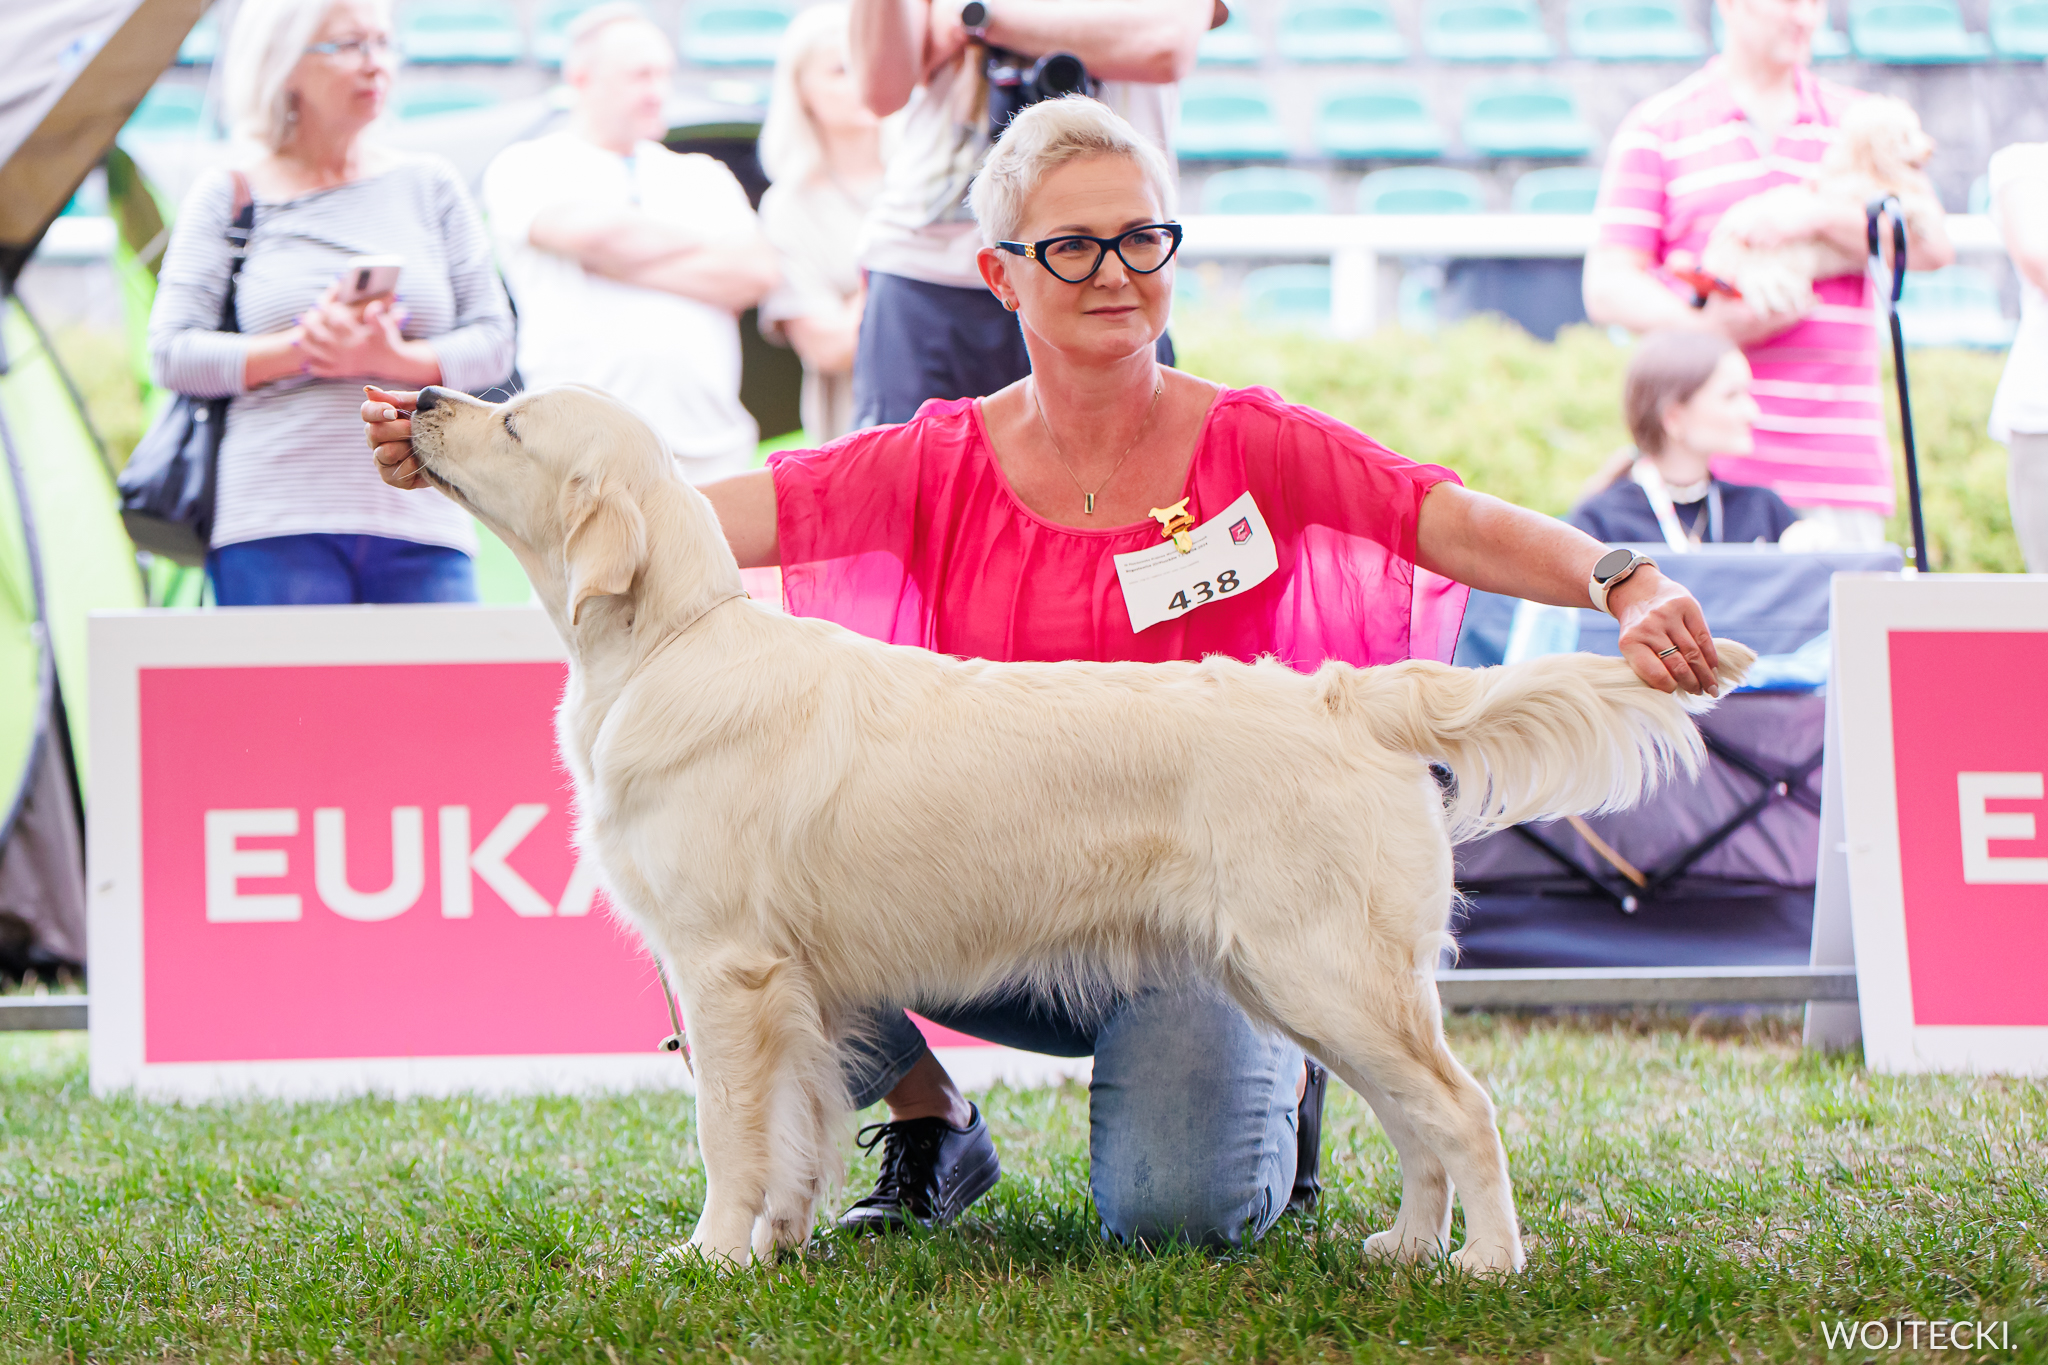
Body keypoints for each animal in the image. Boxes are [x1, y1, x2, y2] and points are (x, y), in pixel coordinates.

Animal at [407, 382, 1753, 1285]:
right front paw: (782, 1240)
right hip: (1315, 981)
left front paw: (714, 1255)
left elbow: (729, 1134)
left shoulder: (726, 967)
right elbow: (794, 1129)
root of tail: (1344, 695)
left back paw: (1487, 1265)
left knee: (1459, 1108)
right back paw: (1407, 1246)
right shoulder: (792, 982)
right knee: (1412, 1118)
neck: (667, 645)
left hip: (1327, 970)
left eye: (514, 424)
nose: (417, 395)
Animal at [1695, 97, 1933, 319]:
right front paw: (1922, 219)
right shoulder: (1857, 201)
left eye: (1917, 129)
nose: (1932, 147)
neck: (1865, 167)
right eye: (1905, 136)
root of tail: (1715, 254)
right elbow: (1904, 199)